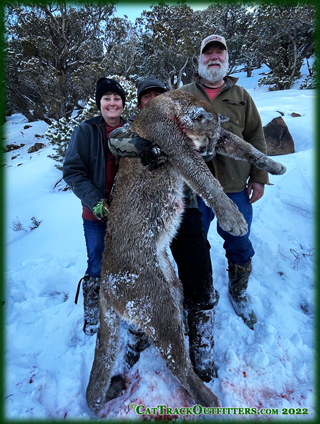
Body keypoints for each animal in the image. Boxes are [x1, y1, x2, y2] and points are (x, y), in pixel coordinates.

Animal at [86, 91, 286, 412]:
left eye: (214, 139)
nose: (210, 153)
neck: (174, 102)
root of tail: (105, 282)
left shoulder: (218, 138)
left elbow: (245, 146)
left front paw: (274, 166)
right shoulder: (175, 147)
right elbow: (207, 180)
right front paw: (235, 220)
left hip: (171, 283)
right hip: (156, 304)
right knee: (175, 361)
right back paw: (211, 399)